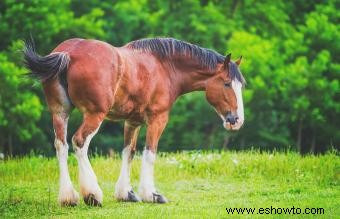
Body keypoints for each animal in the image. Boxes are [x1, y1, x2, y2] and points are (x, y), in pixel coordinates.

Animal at [24, 36, 244, 206]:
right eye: (227, 84)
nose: (237, 120)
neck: (164, 66)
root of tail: (68, 53)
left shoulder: (132, 121)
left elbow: (128, 152)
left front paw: (126, 193)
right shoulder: (157, 119)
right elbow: (150, 153)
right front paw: (151, 194)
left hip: (60, 113)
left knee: (61, 145)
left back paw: (68, 197)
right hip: (94, 115)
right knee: (79, 142)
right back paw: (92, 194)